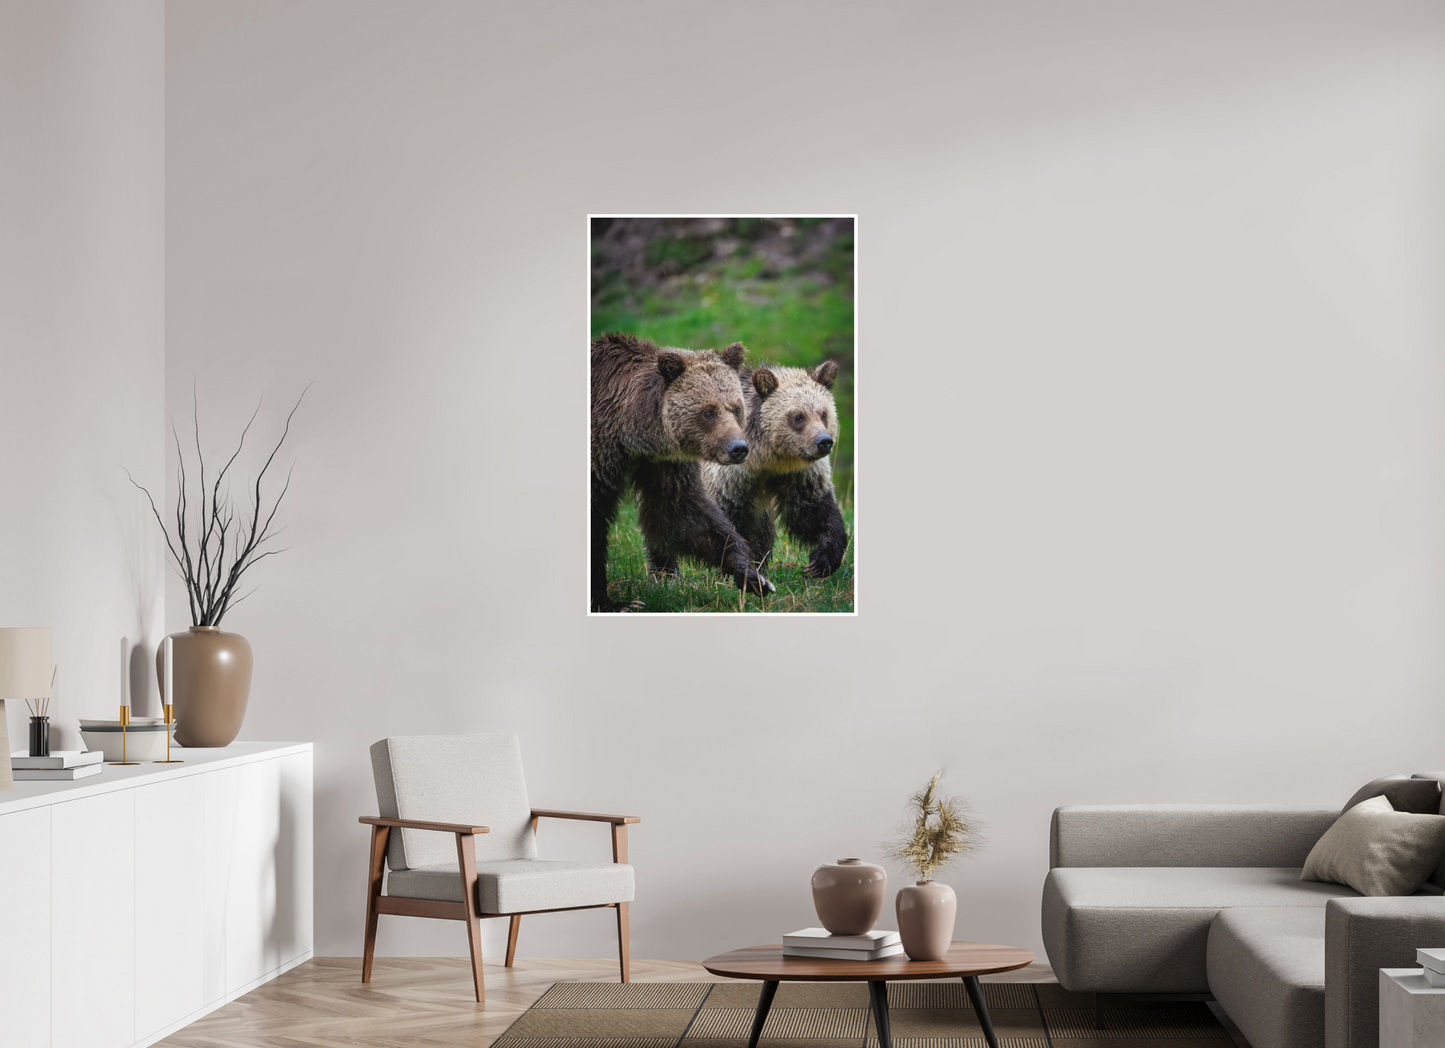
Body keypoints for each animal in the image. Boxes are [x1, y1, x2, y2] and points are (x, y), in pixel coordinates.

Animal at [591, 332, 774, 612]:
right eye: (708, 412)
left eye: (736, 408)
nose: (738, 448)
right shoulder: (601, 454)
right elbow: (596, 522)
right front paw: (616, 602)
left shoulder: (663, 462)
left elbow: (680, 511)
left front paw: (751, 575)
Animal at [700, 360, 850, 579]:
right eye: (798, 416)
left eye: (823, 414)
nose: (824, 442)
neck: (768, 459)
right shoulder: (730, 478)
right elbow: (732, 521)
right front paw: (741, 568)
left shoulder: (800, 475)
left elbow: (813, 511)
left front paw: (821, 562)